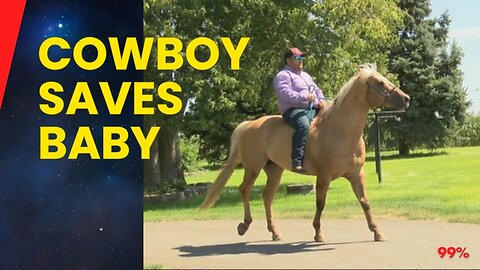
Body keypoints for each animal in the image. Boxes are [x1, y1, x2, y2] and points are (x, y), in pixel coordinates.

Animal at [201, 63, 410, 243]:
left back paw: (275, 233)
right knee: (244, 190)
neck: (339, 131)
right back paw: (244, 225)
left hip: (274, 170)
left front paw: (377, 232)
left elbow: (365, 201)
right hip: (253, 168)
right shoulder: (324, 176)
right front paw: (318, 234)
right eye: (380, 83)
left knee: (267, 197)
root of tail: (248, 125)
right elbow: (320, 203)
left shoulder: (356, 174)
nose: (406, 98)